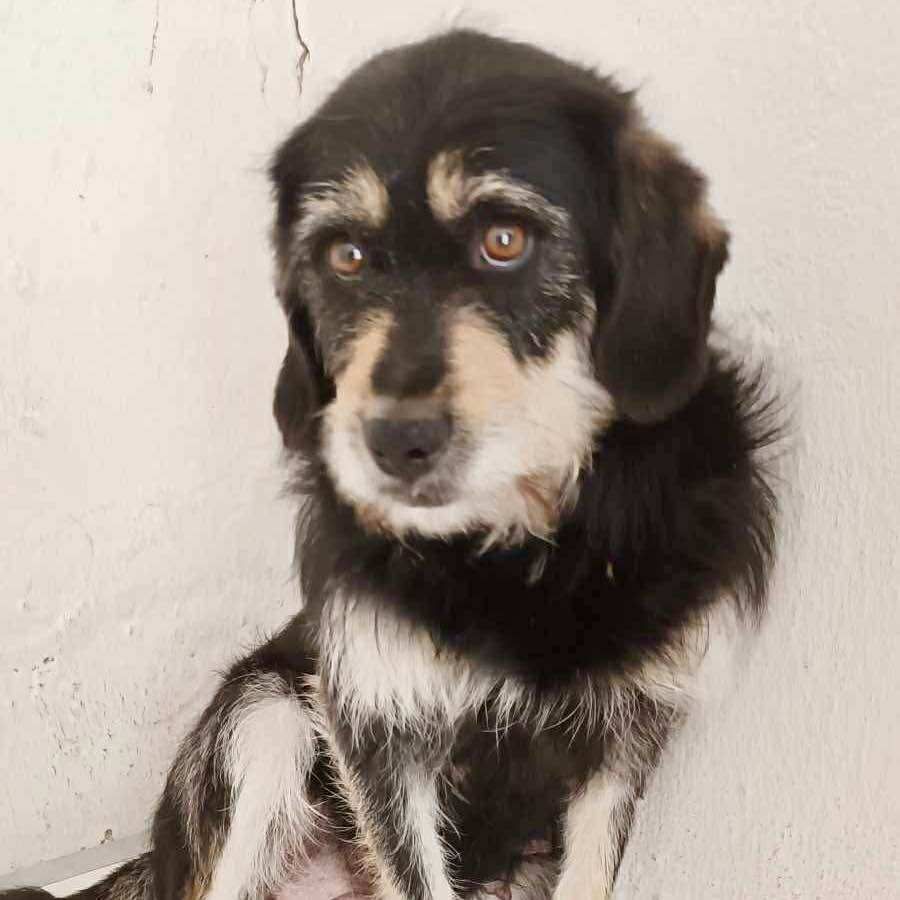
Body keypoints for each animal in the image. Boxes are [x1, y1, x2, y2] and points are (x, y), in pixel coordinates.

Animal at [4, 28, 779, 900]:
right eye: (345, 255)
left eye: (505, 240)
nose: (394, 443)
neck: (513, 560)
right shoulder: (373, 728)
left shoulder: (623, 741)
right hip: (263, 716)